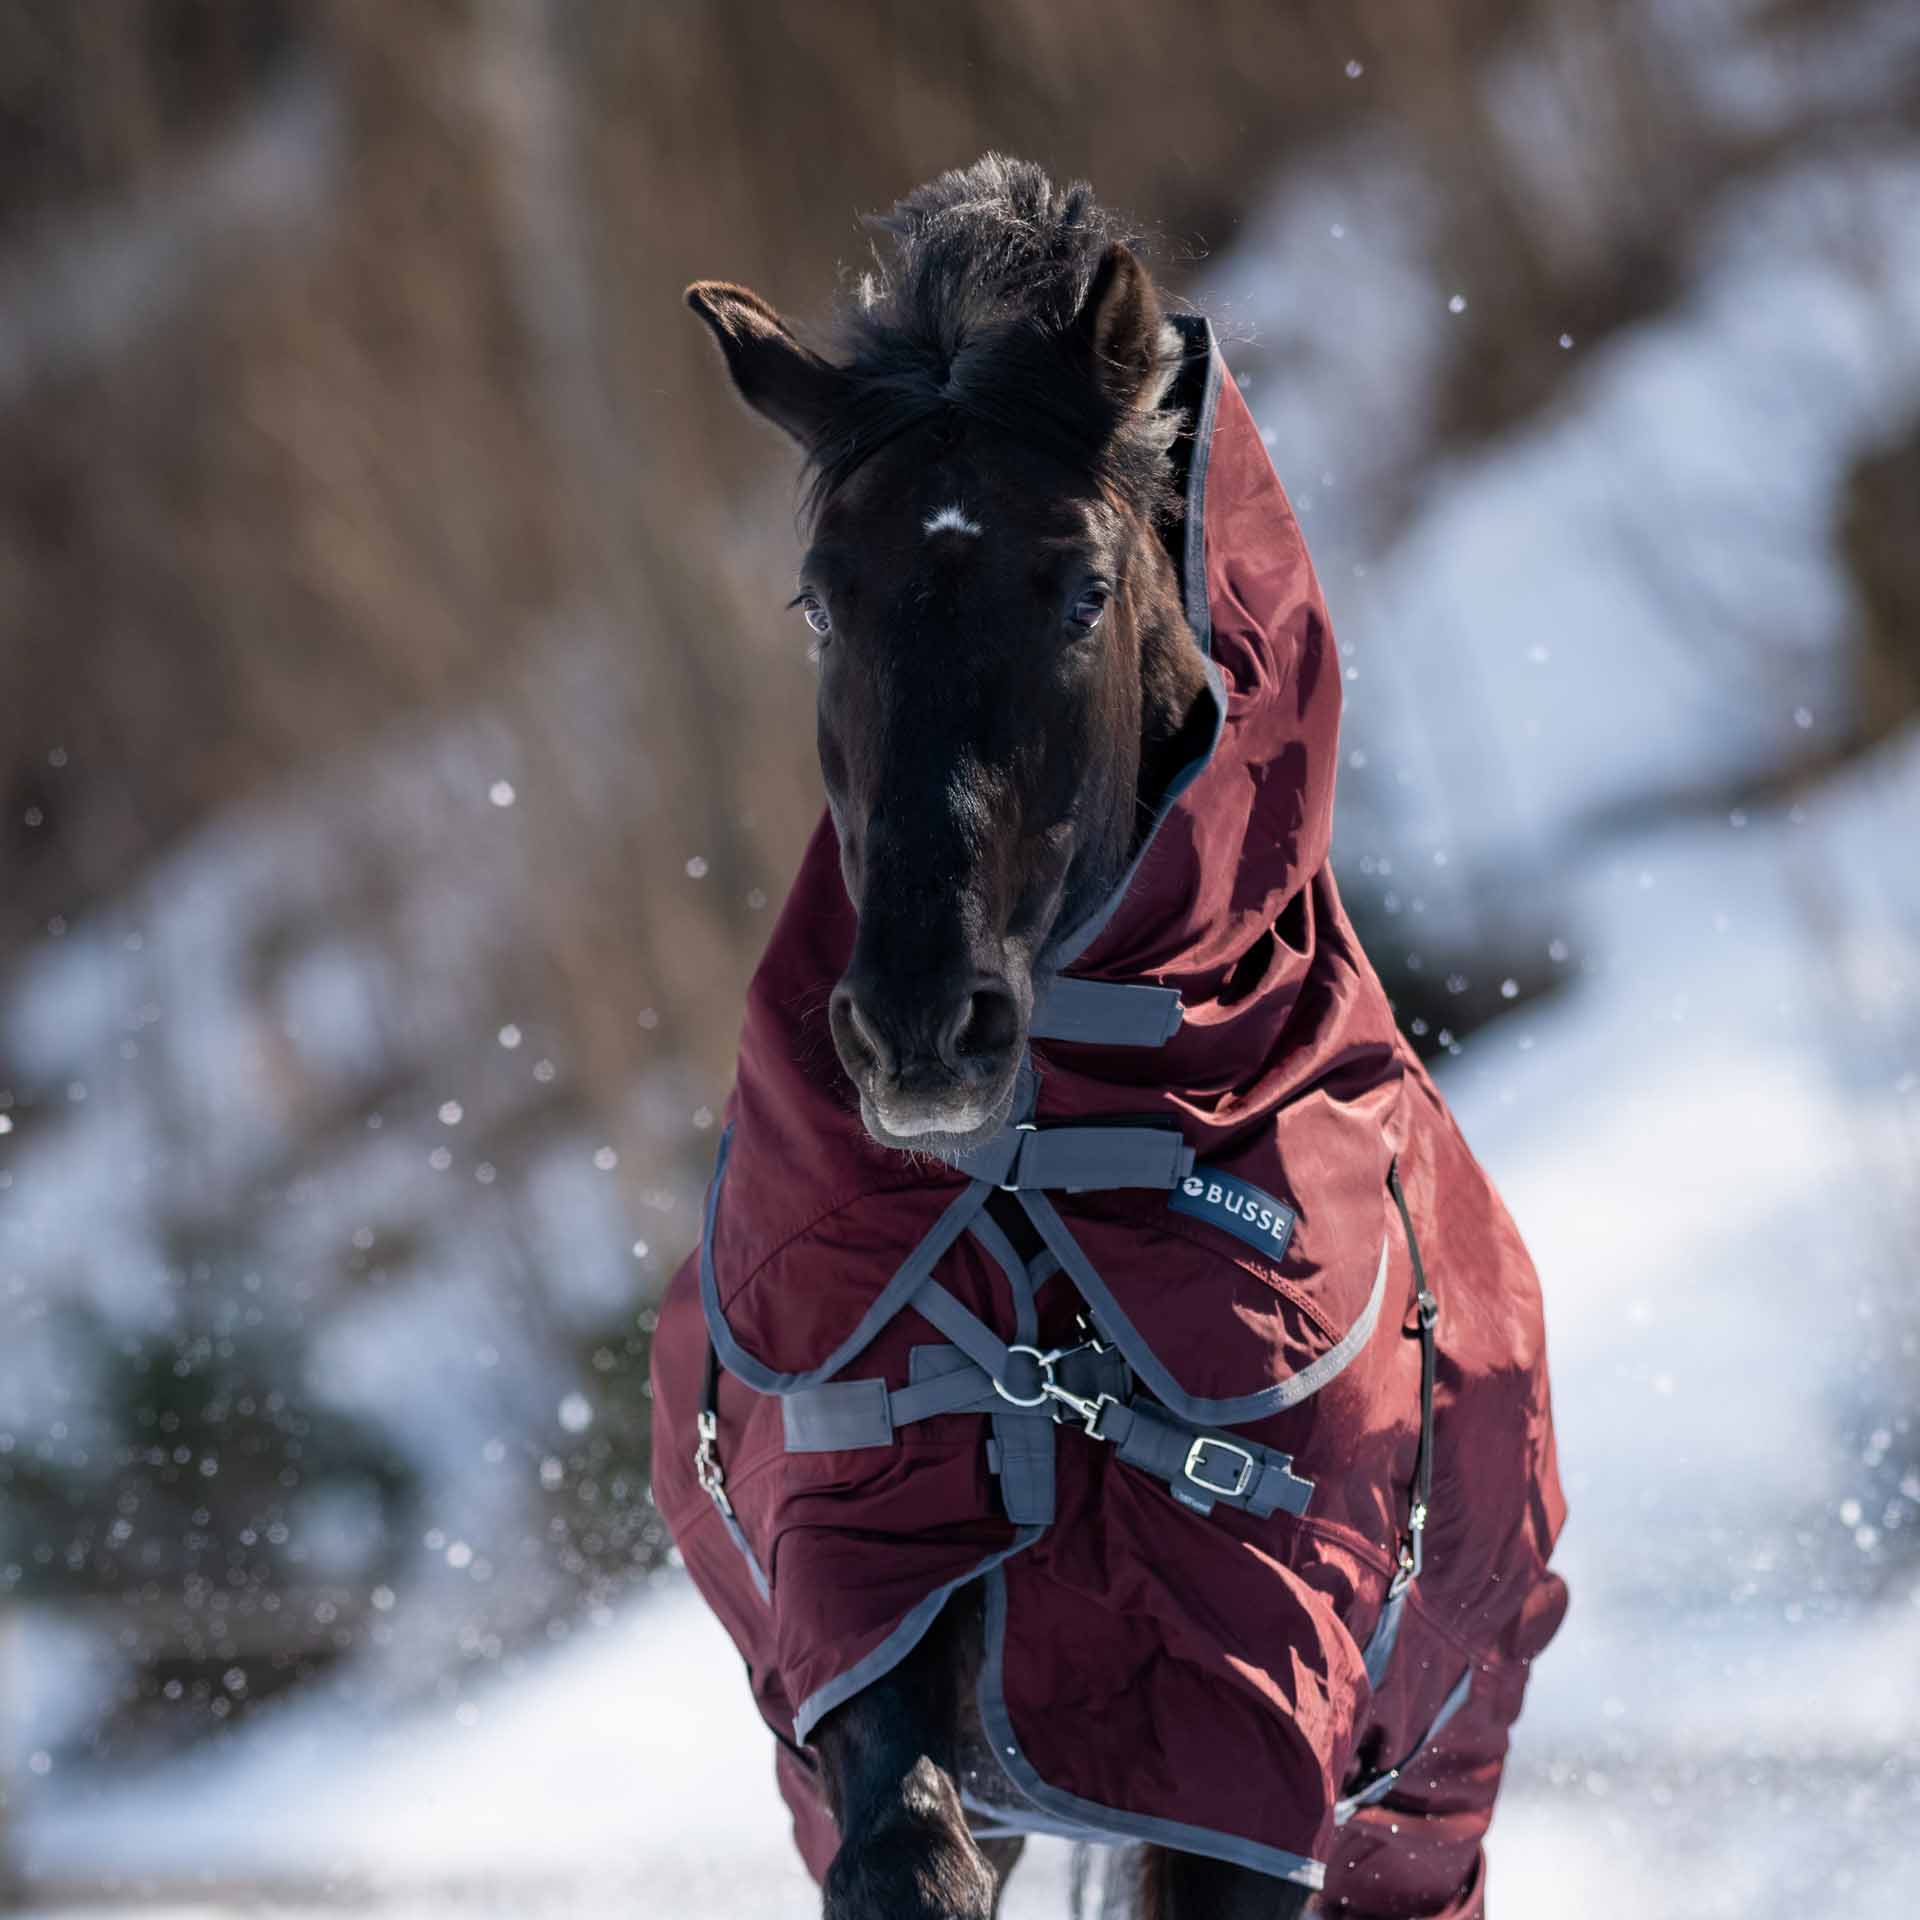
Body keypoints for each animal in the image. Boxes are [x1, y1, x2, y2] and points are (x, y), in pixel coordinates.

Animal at [687, 157, 1305, 1912]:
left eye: (1084, 587)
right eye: (819, 601)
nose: (919, 1032)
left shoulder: (1245, 1748)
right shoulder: (862, 1620)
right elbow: (903, 1842)